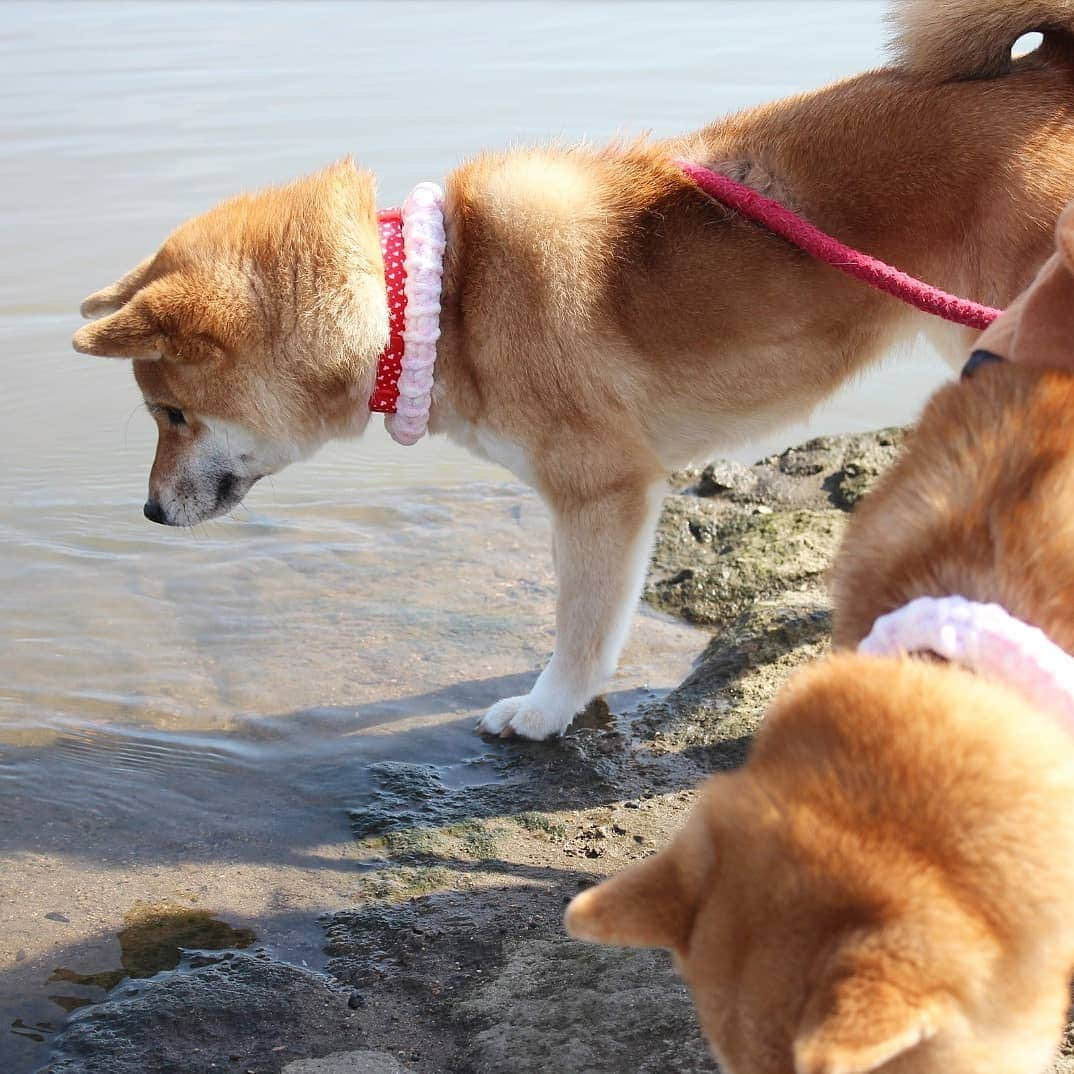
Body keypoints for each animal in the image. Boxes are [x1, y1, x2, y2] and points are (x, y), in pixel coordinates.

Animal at [71, 0, 1074, 738]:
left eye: (169, 414)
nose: (149, 512)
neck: (440, 299)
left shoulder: (603, 491)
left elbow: (583, 626)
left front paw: (546, 711)